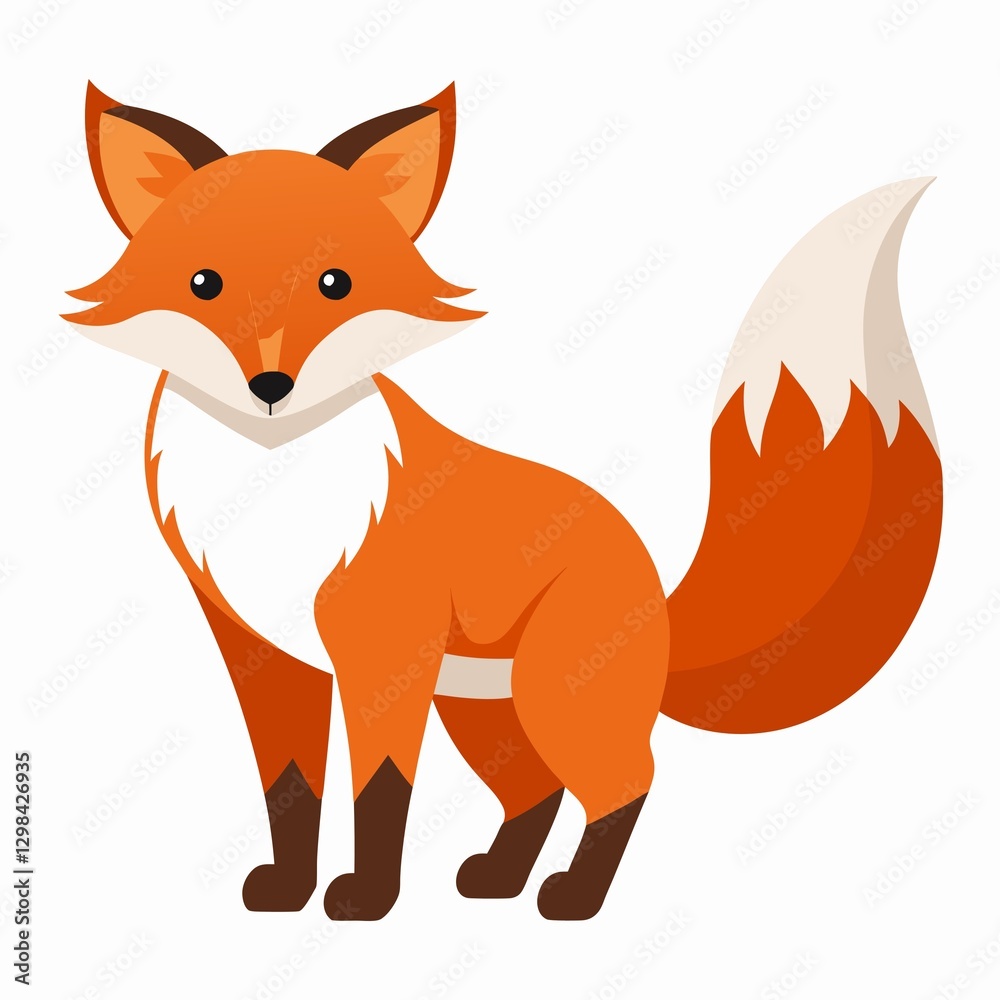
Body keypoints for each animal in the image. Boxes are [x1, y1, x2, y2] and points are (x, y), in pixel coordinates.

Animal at [65, 81, 943, 921]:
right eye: (204, 284)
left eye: (335, 284)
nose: (271, 387)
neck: (278, 488)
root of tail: (655, 587)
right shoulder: (268, 659)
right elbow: (291, 790)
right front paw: (289, 890)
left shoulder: (384, 654)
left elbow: (379, 789)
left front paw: (366, 901)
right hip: (485, 711)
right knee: (539, 791)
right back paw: (500, 879)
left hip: (552, 698)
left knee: (627, 781)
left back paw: (574, 899)